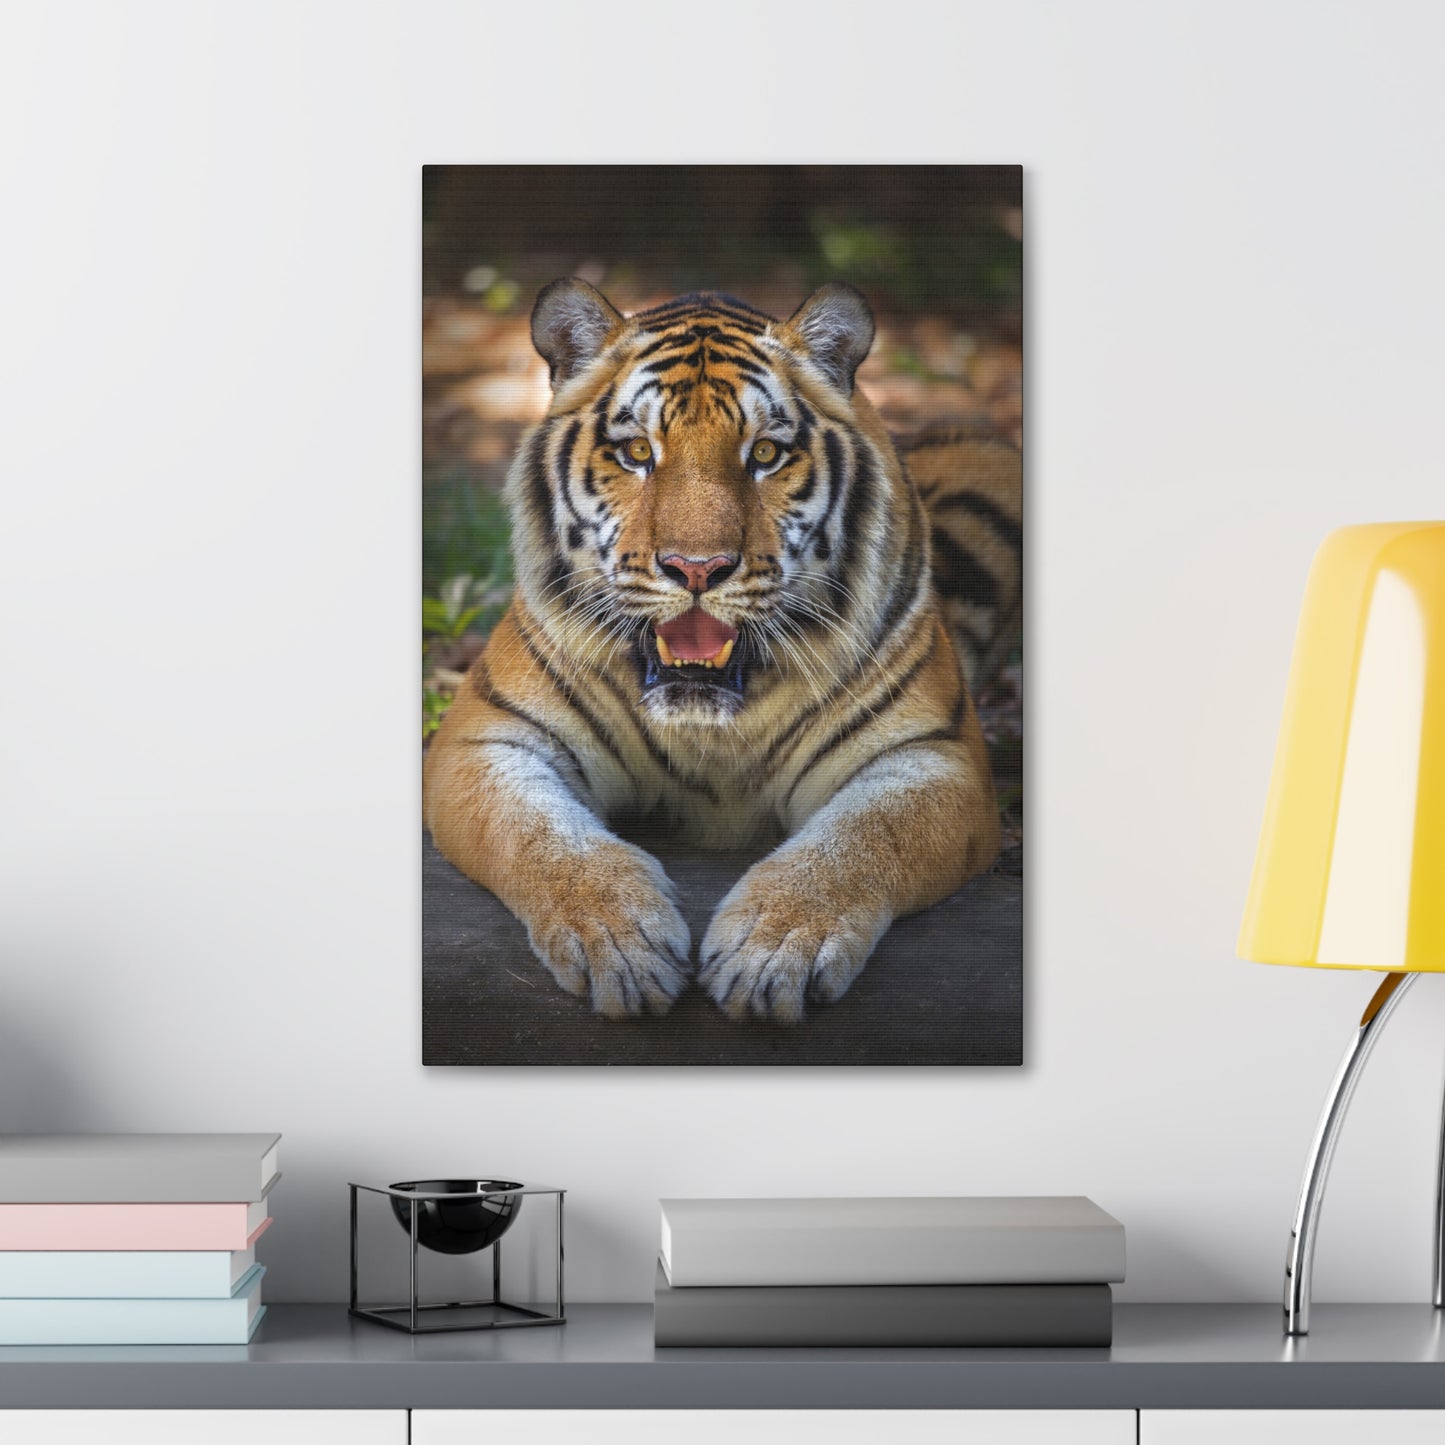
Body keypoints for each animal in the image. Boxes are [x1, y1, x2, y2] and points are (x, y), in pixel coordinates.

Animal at [423, 280, 1022, 1025]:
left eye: (764, 455)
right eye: (636, 451)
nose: (697, 568)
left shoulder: (934, 758)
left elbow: (860, 841)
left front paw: (771, 949)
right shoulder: (487, 741)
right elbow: (541, 836)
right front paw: (621, 941)